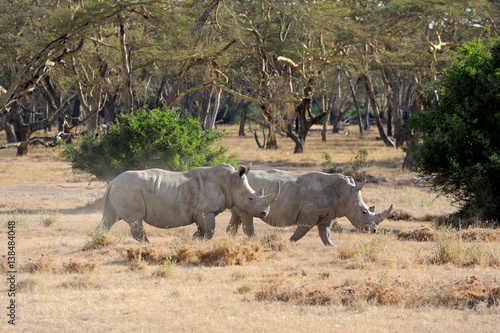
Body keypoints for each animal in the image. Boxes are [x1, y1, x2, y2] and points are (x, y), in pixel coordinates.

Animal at [100, 163, 282, 241]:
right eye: (251, 199)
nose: (265, 213)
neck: (230, 182)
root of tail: (112, 182)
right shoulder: (205, 211)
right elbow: (210, 231)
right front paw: (198, 239)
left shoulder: (201, 212)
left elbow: (204, 230)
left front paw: (195, 238)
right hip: (128, 190)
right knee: (135, 220)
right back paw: (147, 245)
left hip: (119, 190)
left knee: (108, 220)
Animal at [227, 169, 394, 244]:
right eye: (364, 212)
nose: (374, 231)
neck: (345, 193)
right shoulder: (310, 215)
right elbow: (301, 231)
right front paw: (290, 242)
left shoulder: (329, 214)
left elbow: (325, 234)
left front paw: (332, 247)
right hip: (247, 196)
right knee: (247, 217)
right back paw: (255, 241)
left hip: (239, 194)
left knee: (236, 217)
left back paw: (231, 239)